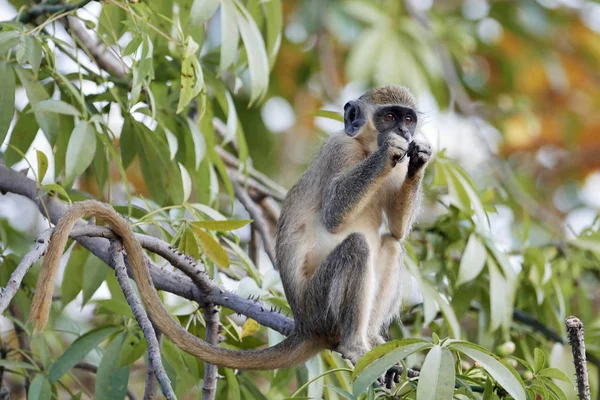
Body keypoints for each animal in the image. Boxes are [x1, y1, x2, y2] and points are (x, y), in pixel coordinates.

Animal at [29, 84, 432, 372]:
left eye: (409, 119)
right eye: (390, 116)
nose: (402, 131)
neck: (364, 150)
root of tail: (304, 324)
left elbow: (398, 231)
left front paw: (420, 159)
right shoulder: (340, 151)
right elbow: (334, 213)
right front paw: (390, 149)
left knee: (391, 245)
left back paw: (374, 341)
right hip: (320, 304)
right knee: (358, 247)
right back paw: (354, 345)